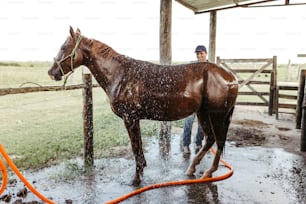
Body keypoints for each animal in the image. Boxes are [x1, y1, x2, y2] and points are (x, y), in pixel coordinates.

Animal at [47, 26, 239, 185]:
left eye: (64, 47)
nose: (51, 72)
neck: (120, 74)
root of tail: (231, 78)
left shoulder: (130, 118)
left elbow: (135, 149)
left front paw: (136, 178)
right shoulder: (134, 119)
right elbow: (138, 148)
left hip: (216, 115)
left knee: (219, 141)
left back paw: (208, 171)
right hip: (203, 114)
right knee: (210, 139)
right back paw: (192, 168)